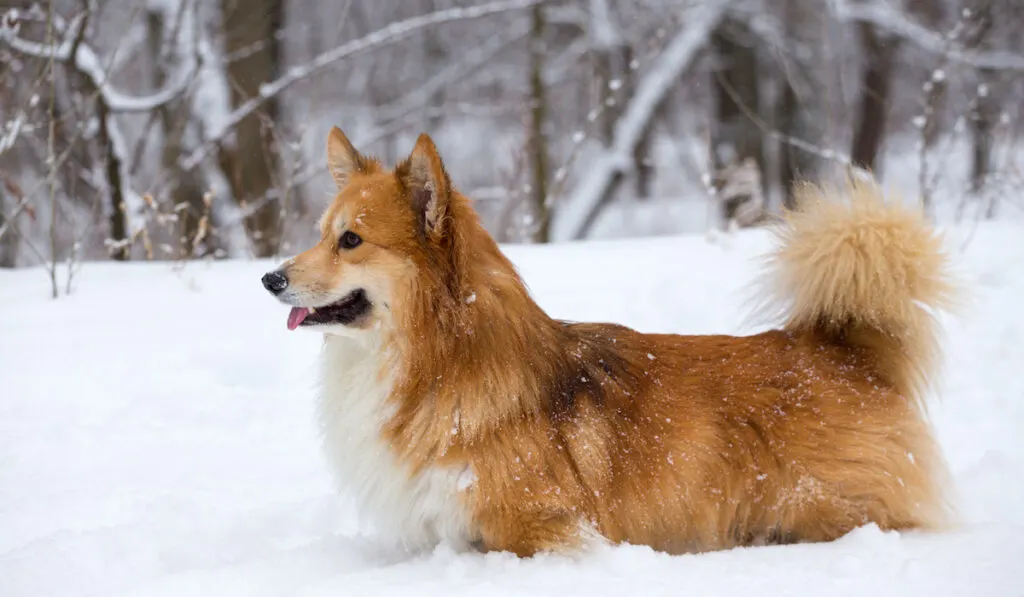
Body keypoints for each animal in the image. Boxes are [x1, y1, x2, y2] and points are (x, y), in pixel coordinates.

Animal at [260, 128, 954, 557]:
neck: (440, 359)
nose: (269, 278)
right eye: (320, 233)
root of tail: (844, 348)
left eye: (351, 240)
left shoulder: (541, 533)